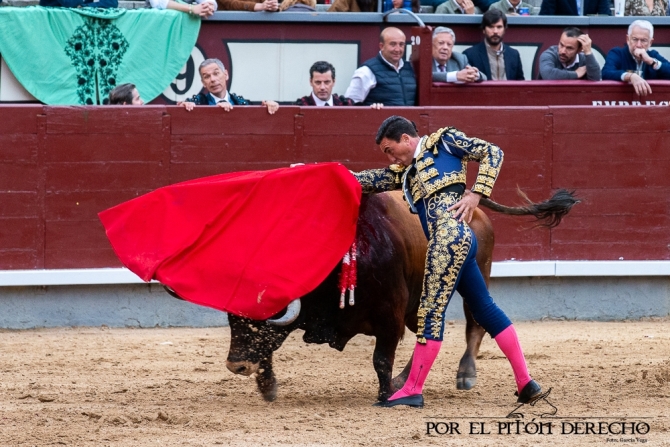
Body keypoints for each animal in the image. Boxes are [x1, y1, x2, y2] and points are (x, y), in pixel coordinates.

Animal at [226, 189, 576, 402]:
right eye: (231, 321)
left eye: (257, 323)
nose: (235, 366)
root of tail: (471, 207)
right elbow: (268, 350)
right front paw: (268, 387)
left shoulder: (389, 317)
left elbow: (381, 358)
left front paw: (384, 396)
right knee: (428, 332)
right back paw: (405, 382)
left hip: (478, 277)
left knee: (477, 324)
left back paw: (465, 375)